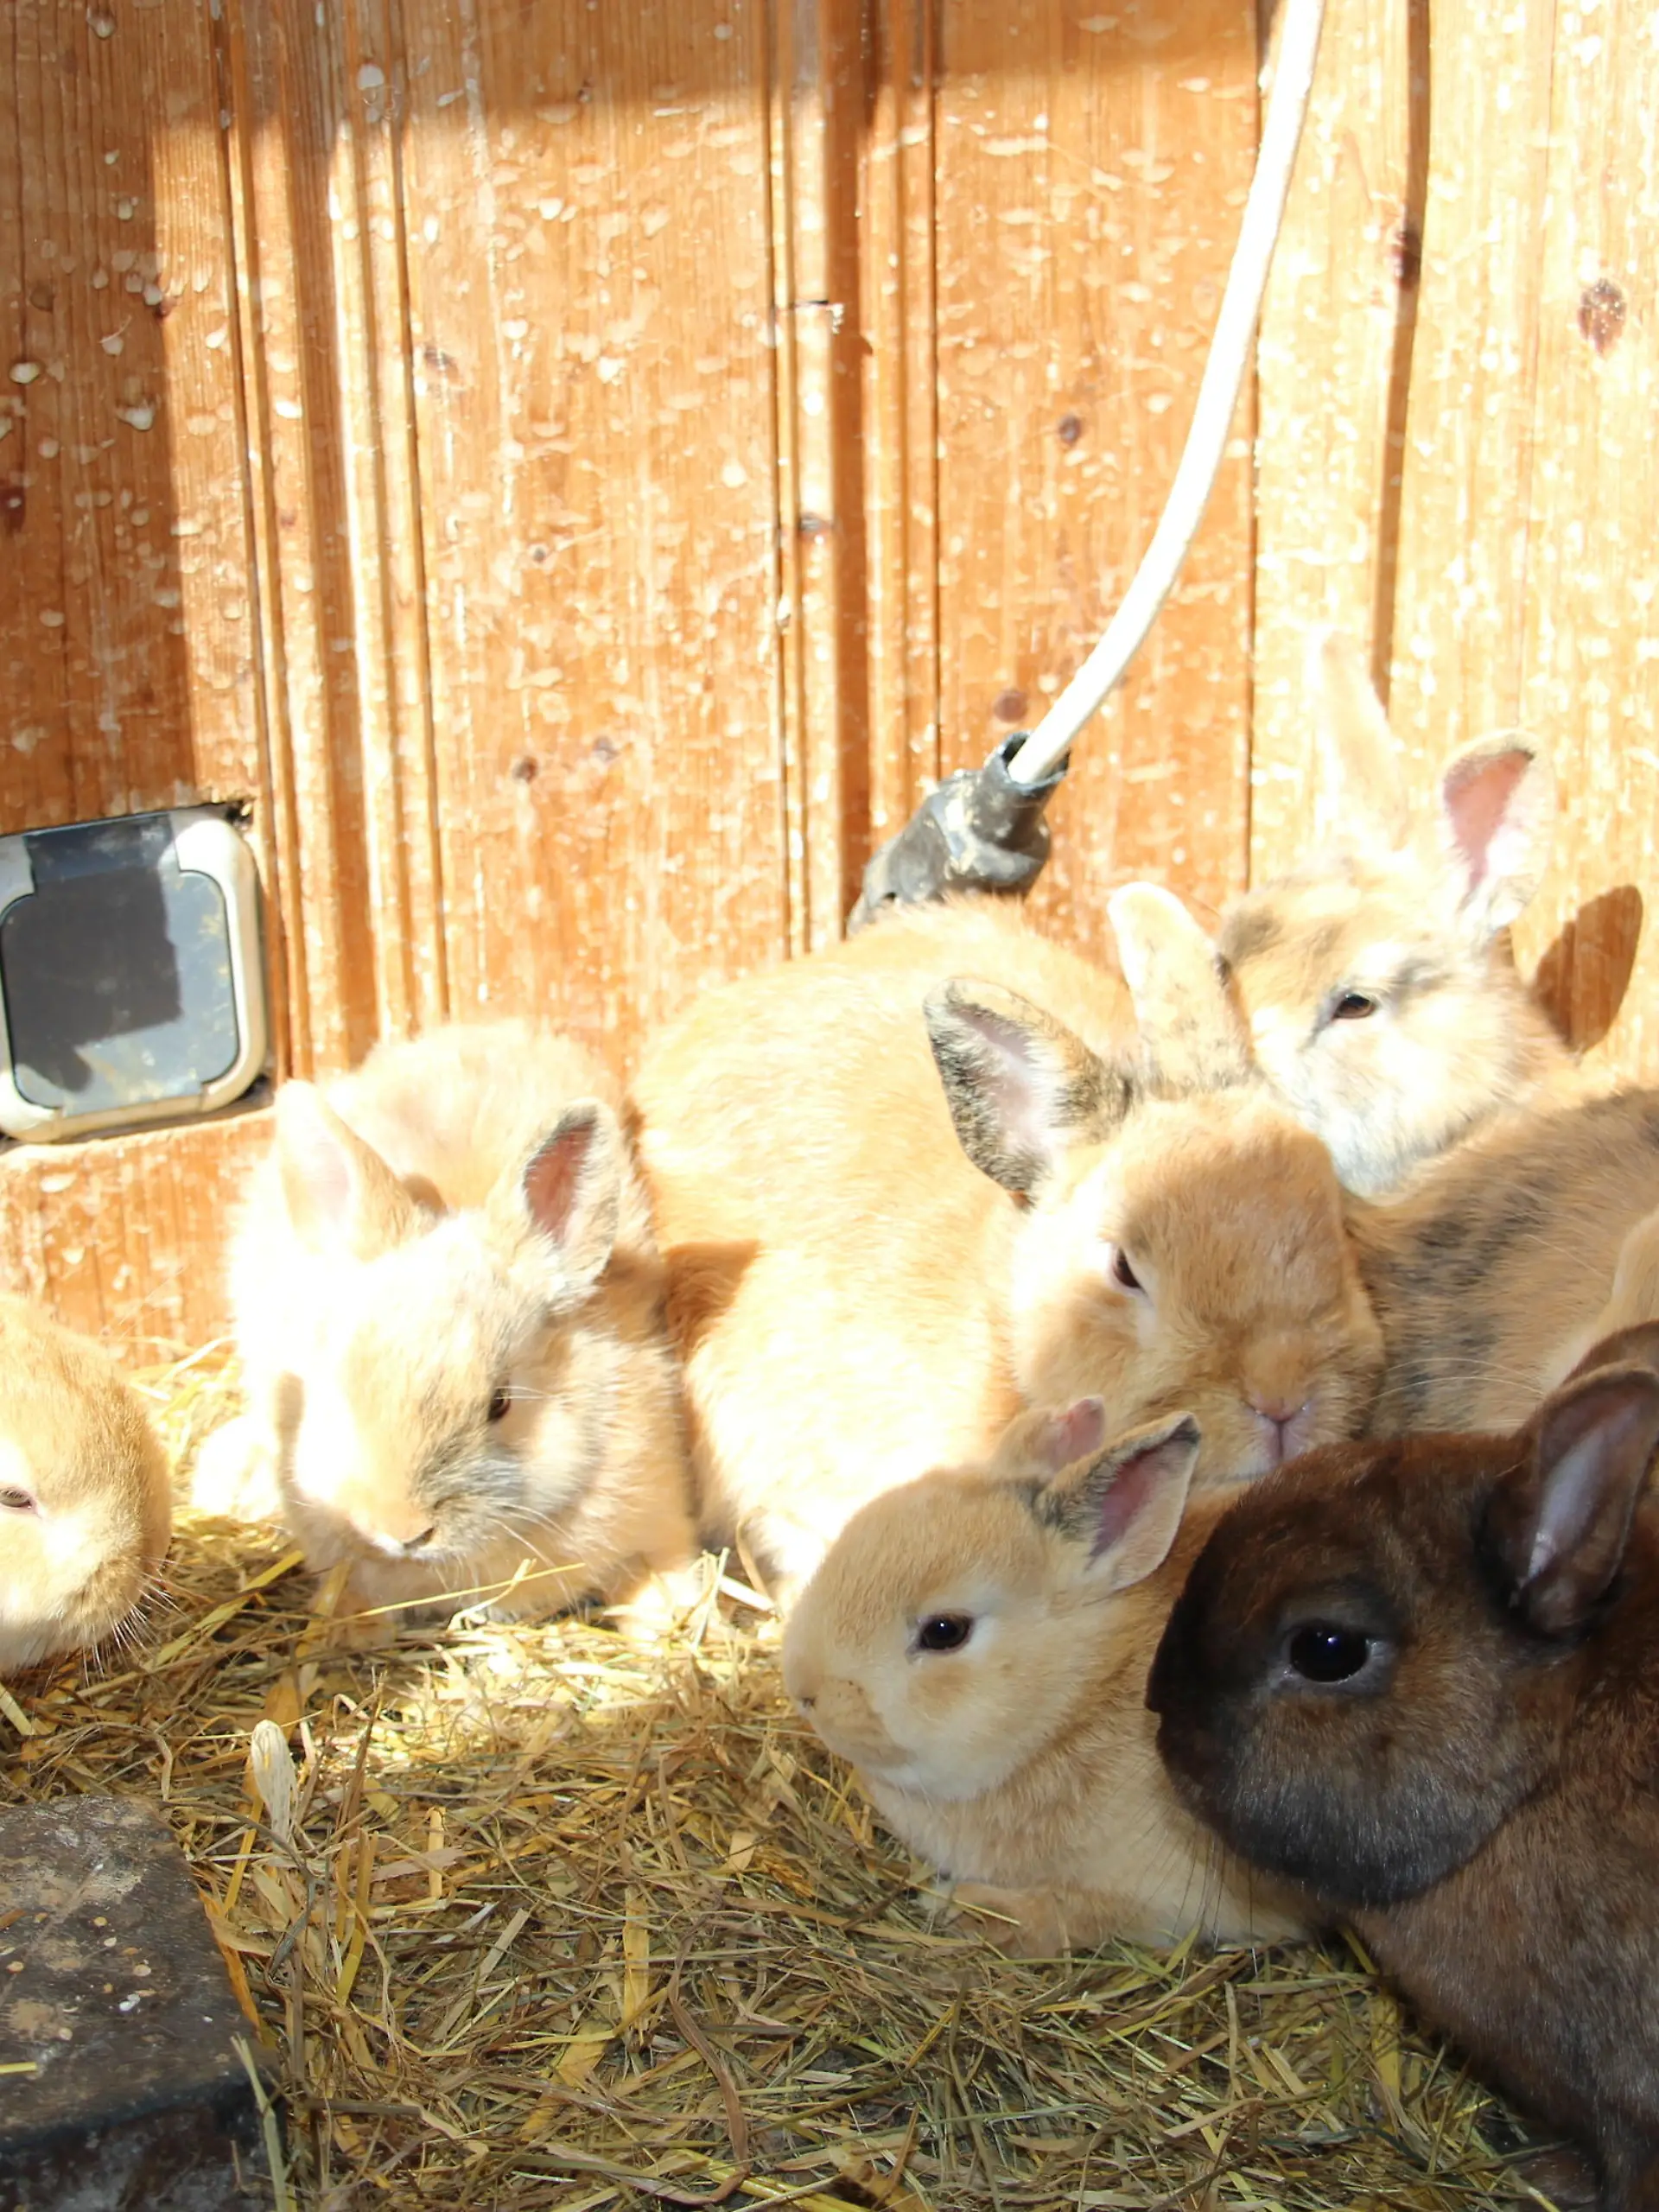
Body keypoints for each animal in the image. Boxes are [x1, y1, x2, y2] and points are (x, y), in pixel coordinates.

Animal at [782, 1396, 1309, 1955]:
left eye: (945, 1631)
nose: (803, 1689)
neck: (1081, 1696)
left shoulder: (1176, 1898)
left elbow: (1074, 1911)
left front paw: (966, 1908)